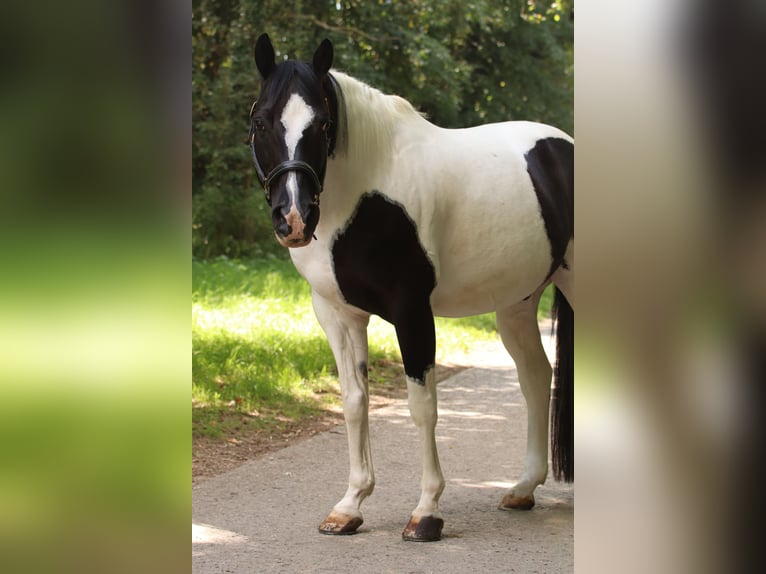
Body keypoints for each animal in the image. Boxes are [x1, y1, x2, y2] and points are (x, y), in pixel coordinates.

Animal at [247, 33, 573, 542]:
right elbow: (354, 402)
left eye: (323, 123)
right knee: (536, 377)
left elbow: (422, 406)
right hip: (517, 303)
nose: (294, 219)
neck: (365, 193)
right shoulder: (337, 315)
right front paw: (349, 505)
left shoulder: (412, 312)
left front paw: (426, 512)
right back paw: (523, 489)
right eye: (260, 120)